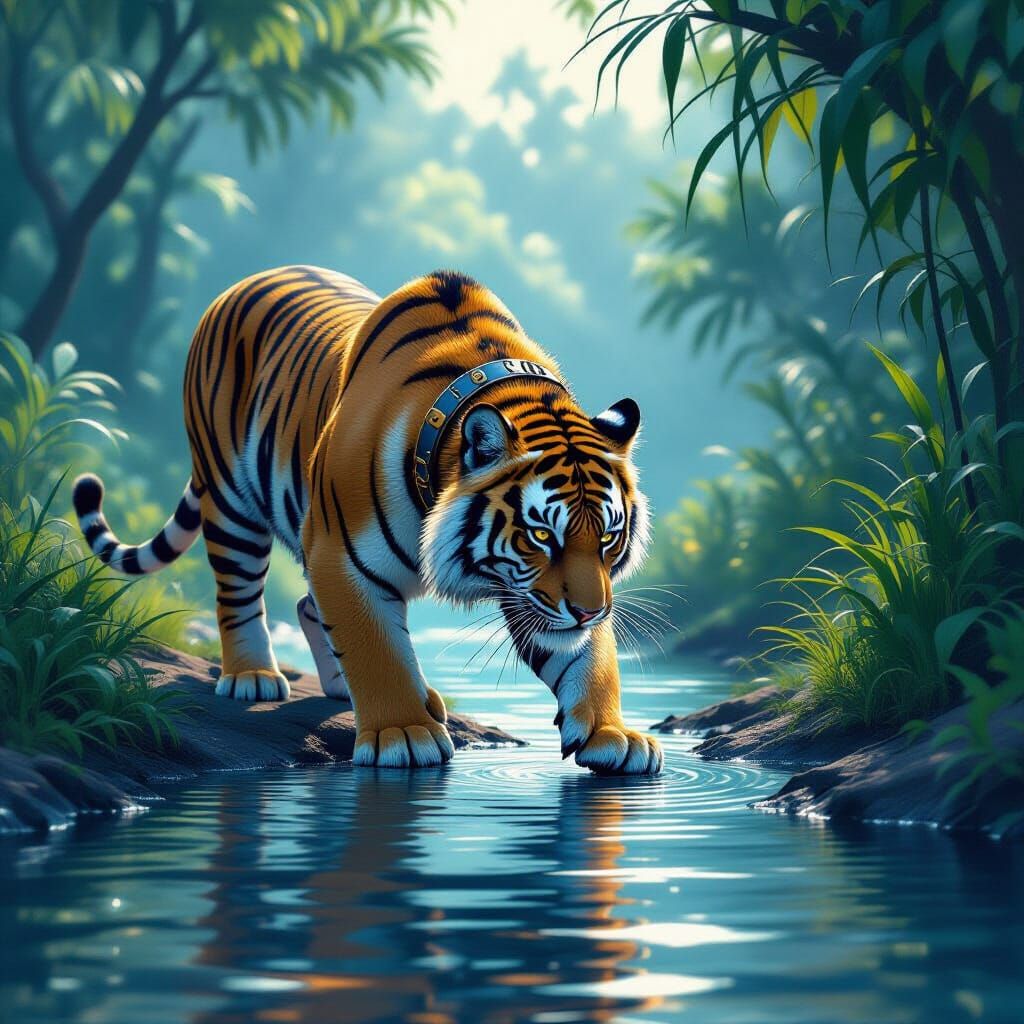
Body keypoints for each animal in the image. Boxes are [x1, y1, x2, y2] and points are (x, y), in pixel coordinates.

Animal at [73, 266, 662, 774]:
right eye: (541, 535)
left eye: (608, 538)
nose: (590, 612)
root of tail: (243, 282)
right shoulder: (342, 554)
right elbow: (375, 647)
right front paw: (404, 733)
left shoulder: (531, 591)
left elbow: (588, 659)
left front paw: (613, 735)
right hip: (231, 499)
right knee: (239, 591)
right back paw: (254, 676)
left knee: (307, 604)